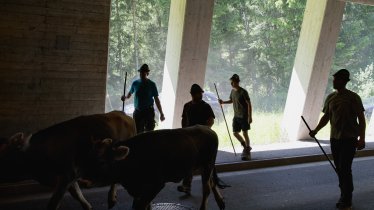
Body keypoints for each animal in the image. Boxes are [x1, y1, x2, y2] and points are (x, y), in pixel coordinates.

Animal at [0, 110, 137, 209]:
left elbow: (53, 204)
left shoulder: (66, 175)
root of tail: (124, 114)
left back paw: (111, 198)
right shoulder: (72, 176)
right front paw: (88, 207)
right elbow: (78, 195)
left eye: (6, 156)